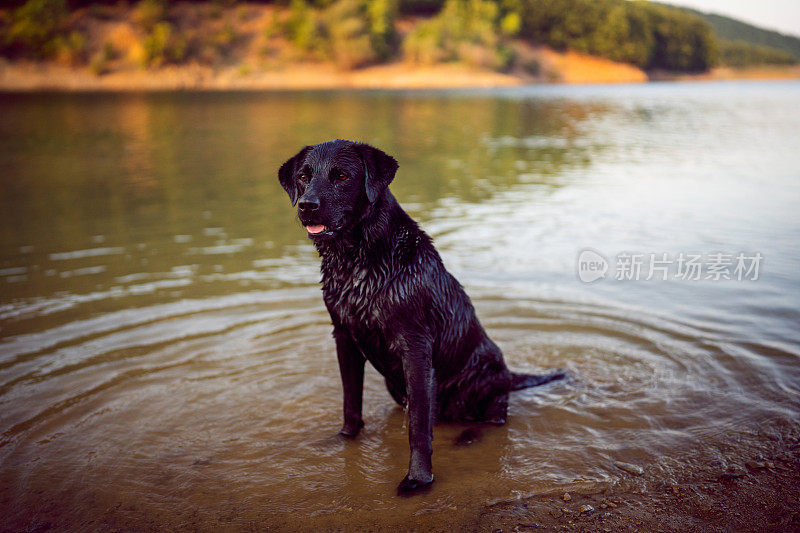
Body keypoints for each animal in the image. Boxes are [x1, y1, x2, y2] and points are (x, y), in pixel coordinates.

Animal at [278, 139, 564, 492]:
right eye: (303, 177)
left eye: (341, 176)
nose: (307, 205)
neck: (358, 264)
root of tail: (509, 374)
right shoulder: (343, 336)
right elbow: (350, 402)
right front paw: (344, 439)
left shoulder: (414, 346)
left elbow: (418, 426)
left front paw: (418, 479)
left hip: (486, 376)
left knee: (491, 420)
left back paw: (467, 438)